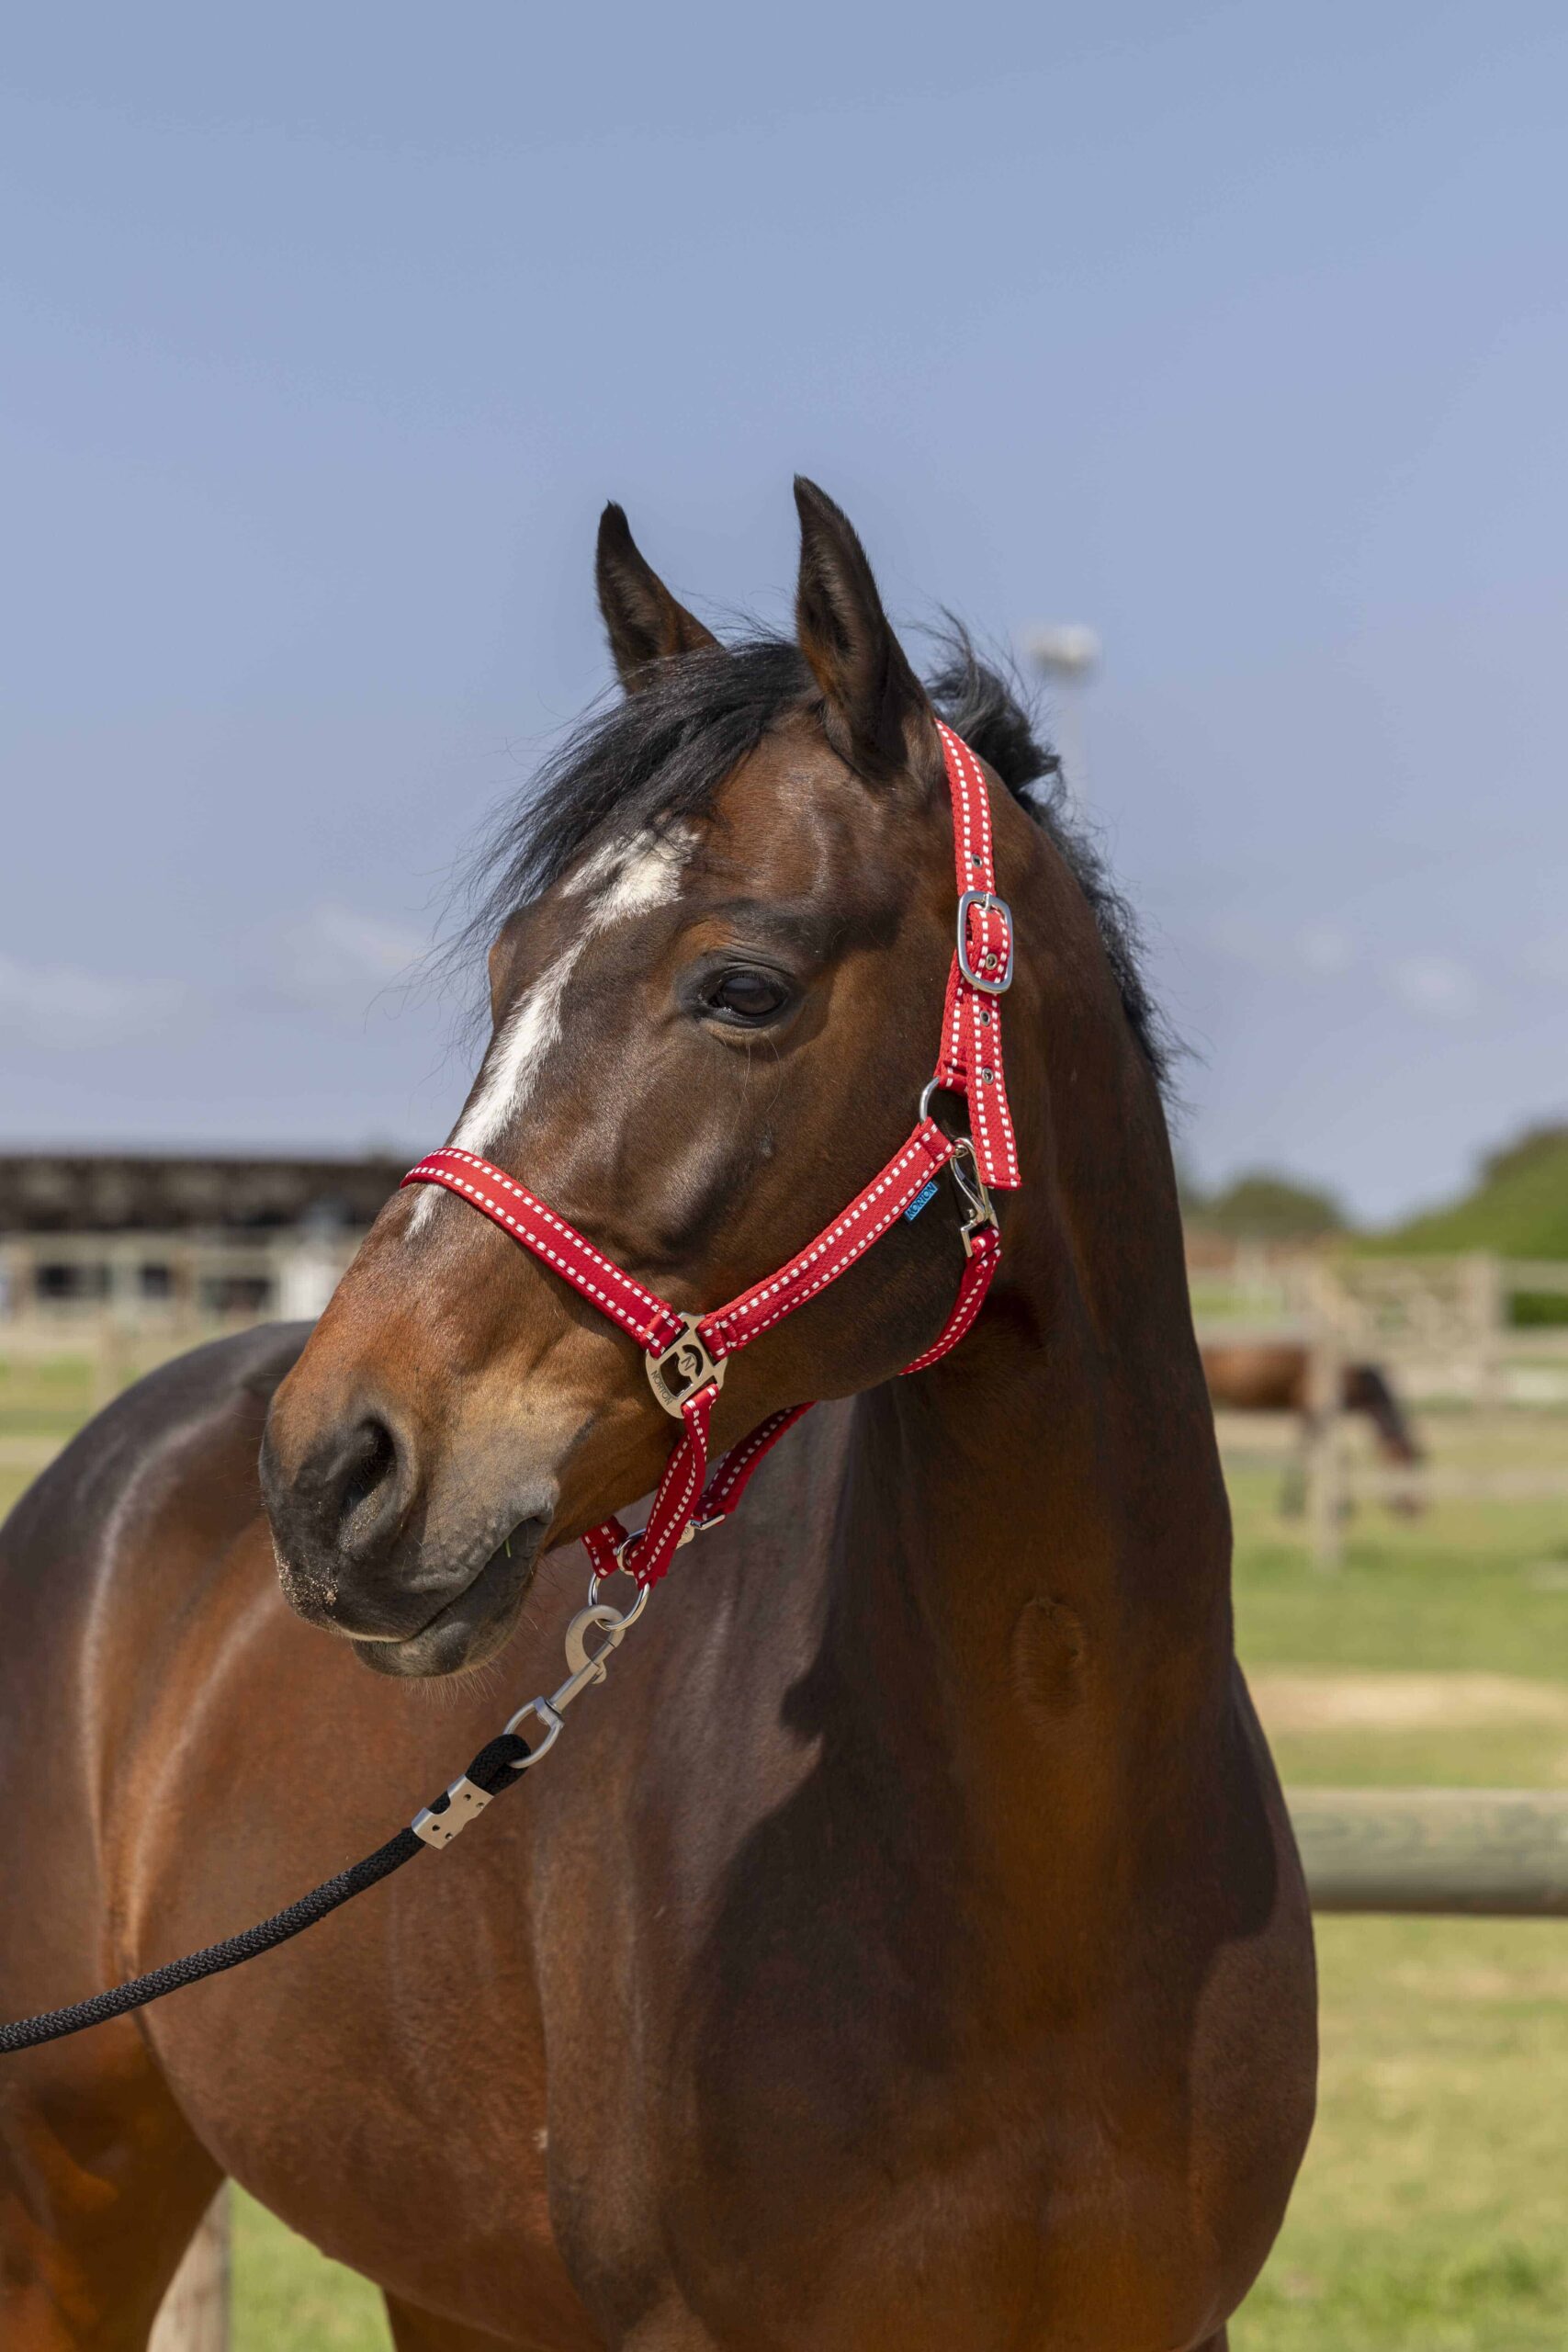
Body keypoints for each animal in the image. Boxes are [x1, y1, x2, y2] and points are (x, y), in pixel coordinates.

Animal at [1200, 1342, 1425, 1516]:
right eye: (1403, 1463)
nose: (1415, 1509)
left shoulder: (1318, 1416)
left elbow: (1332, 1456)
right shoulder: (1312, 1412)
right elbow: (1312, 1454)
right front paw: (1293, 1506)